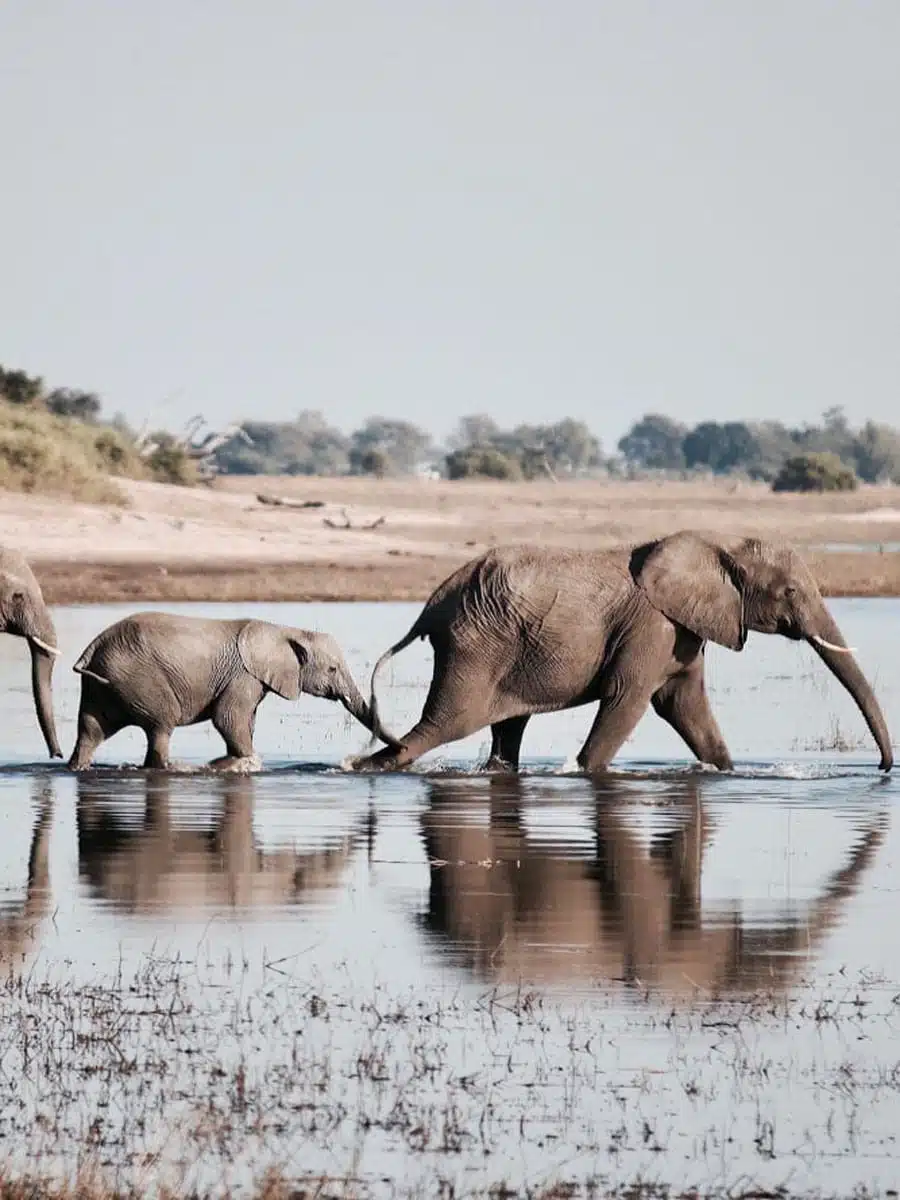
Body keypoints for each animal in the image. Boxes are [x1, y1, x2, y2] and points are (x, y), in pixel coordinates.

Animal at [66, 609, 384, 768]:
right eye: (332, 669)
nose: (350, 762)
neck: (284, 630)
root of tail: (93, 648)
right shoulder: (244, 675)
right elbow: (228, 718)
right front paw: (247, 760)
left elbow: (244, 721)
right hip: (139, 677)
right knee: (161, 724)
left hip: (106, 682)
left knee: (90, 730)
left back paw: (77, 768)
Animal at [355, 530, 897, 772]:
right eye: (789, 591)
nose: (883, 769)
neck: (719, 546)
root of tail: (435, 601)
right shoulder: (652, 627)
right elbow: (628, 699)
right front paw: (582, 772)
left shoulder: (683, 629)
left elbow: (684, 704)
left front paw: (726, 772)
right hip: (476, 646)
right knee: (441, 726)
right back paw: (358, 769)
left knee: (505, 729)